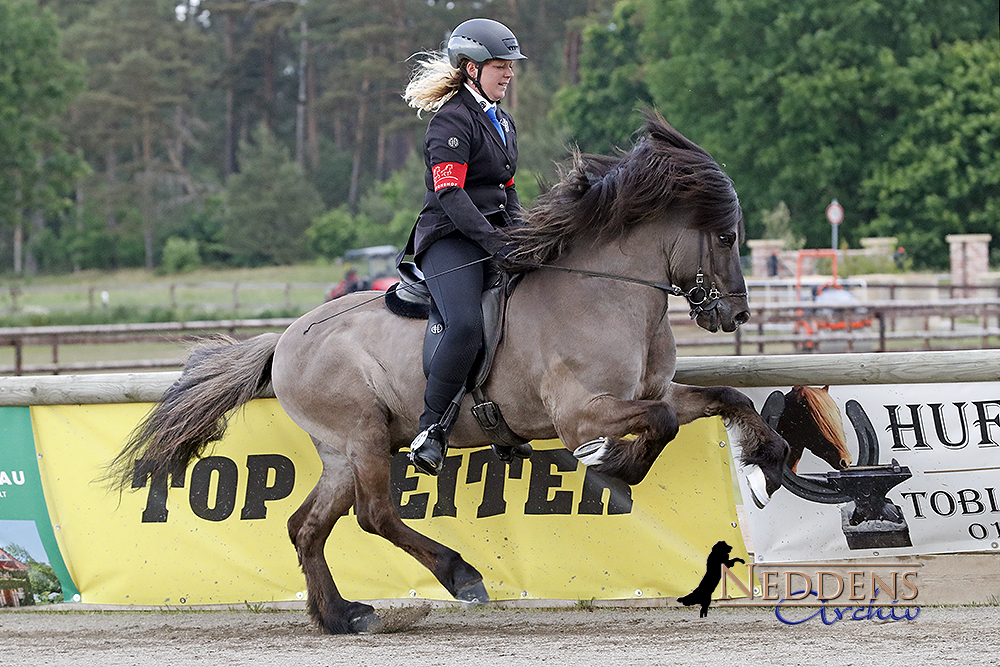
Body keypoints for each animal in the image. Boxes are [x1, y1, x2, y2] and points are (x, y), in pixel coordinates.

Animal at [103, 116, 788, 636]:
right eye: (726, 236)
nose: (736, 313)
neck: (605, 293)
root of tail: (284, 341)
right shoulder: (579, 413)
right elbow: (662, 423)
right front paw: (616, 466)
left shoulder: (650, 391)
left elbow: (720, 396)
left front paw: (767, 459)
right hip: (363, 435)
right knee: (374, 515)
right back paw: (458, 575)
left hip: (345, 451)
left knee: (308, 526)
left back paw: (343, 616)